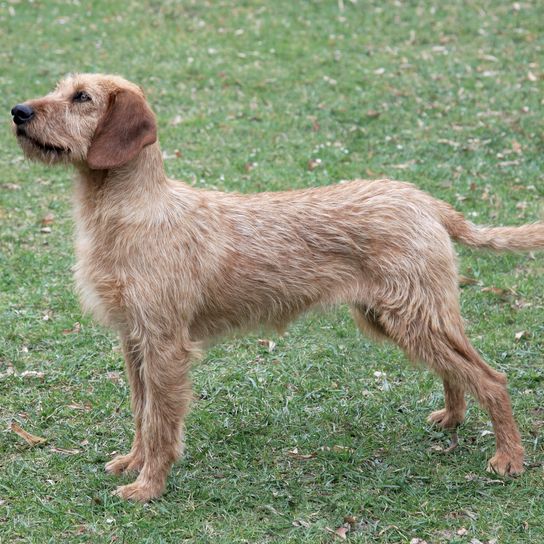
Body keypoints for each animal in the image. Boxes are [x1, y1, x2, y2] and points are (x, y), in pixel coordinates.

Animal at [11, 74, 544, 504]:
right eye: (61, 89)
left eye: (82, 97)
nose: (18, 111)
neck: (129, 211)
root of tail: (427, 202)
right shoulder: (134, 338)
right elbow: (142, 412)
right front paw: (132, 463)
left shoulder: (165, 343)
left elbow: (161, 421)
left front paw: (148, 487)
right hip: (402, 317)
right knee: (459, 369)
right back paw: (453, 417)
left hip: (415, 316)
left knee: (491, 378)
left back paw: (509, 459)